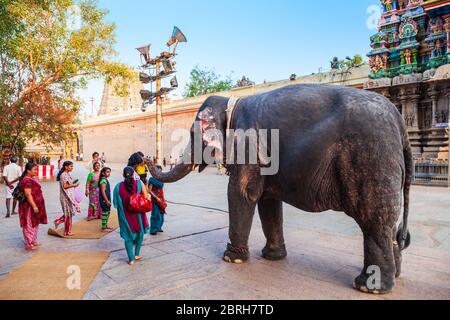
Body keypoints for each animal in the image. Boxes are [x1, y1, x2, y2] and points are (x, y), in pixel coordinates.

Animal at [149, 84, 414, 294]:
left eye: (193, 133)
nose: (151, 159)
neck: (232, 101)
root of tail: (399, 121)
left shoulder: (248, 144)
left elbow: (241, 193)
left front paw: (231, 259)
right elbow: (267, 202)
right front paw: (272, 257)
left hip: (370, 160)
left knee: (373, 221)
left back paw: (368, 287)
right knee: (388, 225)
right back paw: (395, 275)